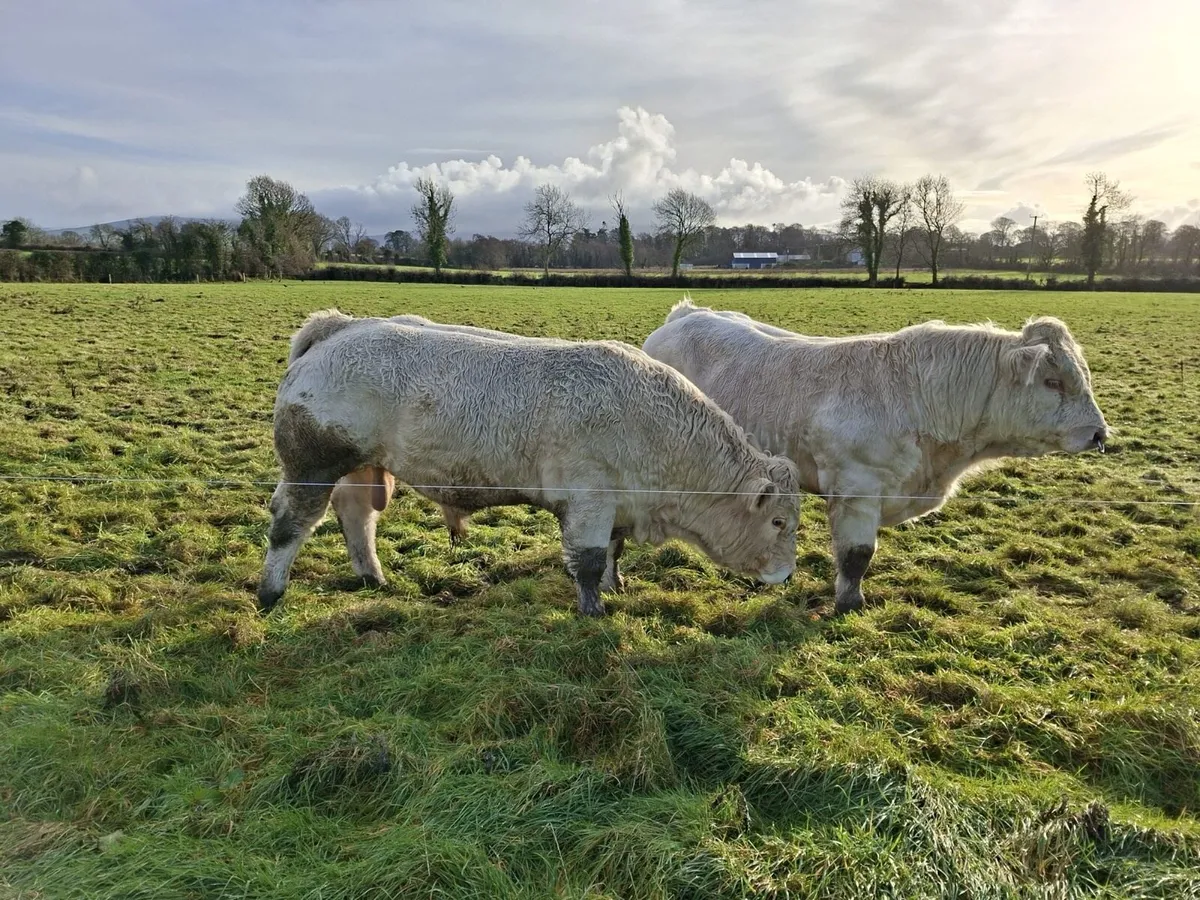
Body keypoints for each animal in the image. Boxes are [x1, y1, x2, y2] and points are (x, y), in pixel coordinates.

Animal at [258, 309, 803, 617]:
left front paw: (617, 586)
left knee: (356, 515)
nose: (787, 575)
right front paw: (594, 610)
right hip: (311, 464)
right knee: (291, 523)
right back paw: (270, 592)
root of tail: (339, 327)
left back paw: (373, 576)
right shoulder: (589, 501)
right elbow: (589, 562)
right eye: (779, 521)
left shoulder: (617, 506)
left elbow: (614, 551)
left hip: (359, 465)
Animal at [641, 297, 1109, 614]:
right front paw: (849, 604)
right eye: (1053, 381)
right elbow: (857, 556)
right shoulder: (857, 489)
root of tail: (686, 314)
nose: (1099, 433)